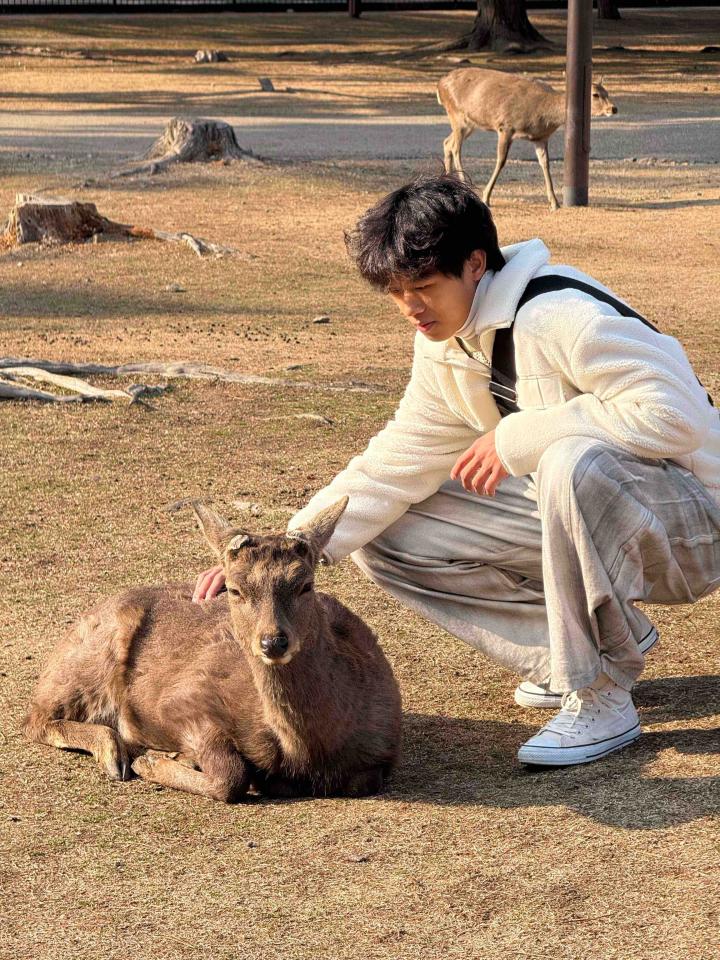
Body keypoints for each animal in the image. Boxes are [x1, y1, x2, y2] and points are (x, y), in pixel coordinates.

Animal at [24, 498, 402, 802]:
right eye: (234, 589)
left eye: (305, 585)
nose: (273, 641)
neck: (309, 752)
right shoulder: (183, 701)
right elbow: (231, 776)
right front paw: (152, 760)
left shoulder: (383, 749)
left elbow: (362, 781)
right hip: (86, 662)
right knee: (35, 718)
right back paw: (115, 755)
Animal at [437, 67, 617, 210]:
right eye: (595, 94)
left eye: (607, 92)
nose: (613, 108)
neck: (543, 113)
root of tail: (440, 84)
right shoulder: (505, 126)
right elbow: (501, 160)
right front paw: (486, 197)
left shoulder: (540, 138)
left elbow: (545, 164)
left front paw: (554, 202)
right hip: (457, 115)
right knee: (455, 147)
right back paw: (463, 184)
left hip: (469, 123)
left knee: (447, 142)